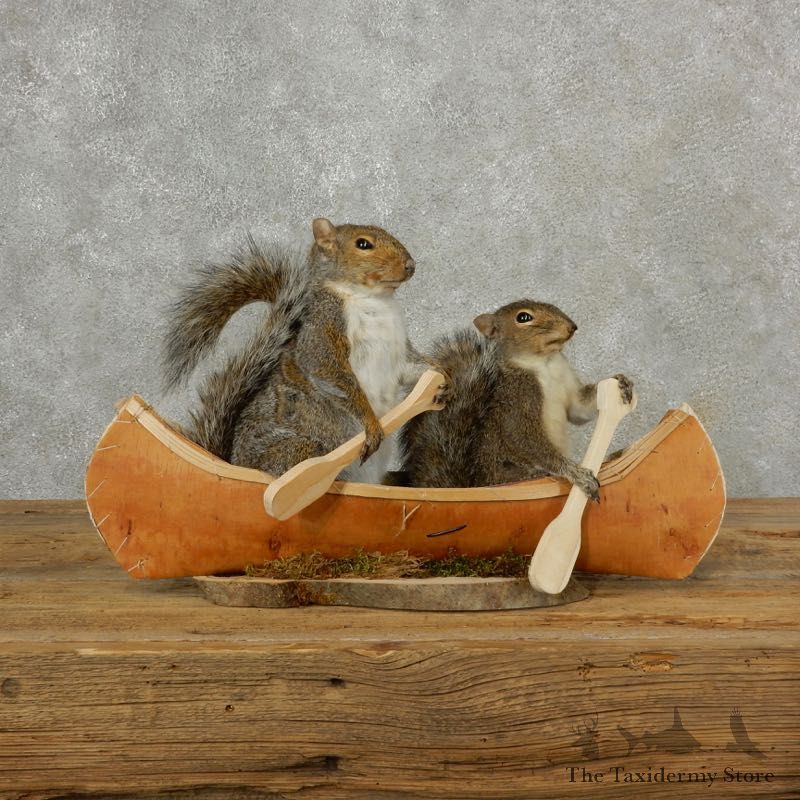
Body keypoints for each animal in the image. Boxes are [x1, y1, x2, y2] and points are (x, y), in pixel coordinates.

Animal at [163, 218, 434, 483]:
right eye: (363, 244)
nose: (410, 265)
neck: (373, 300)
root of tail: (238, 464)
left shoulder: (398, 350)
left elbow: (411, 368)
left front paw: (439, 378)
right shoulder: (324, 331)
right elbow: (333, 376)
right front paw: (372, 424)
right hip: (300, 450)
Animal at [396, 299, 633, 496]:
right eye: (523, 318)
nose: (571, 326)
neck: (545, 363)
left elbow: (579, 410)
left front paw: (619, 383)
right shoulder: (517, 400)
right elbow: (527, 439)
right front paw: (576, 474)